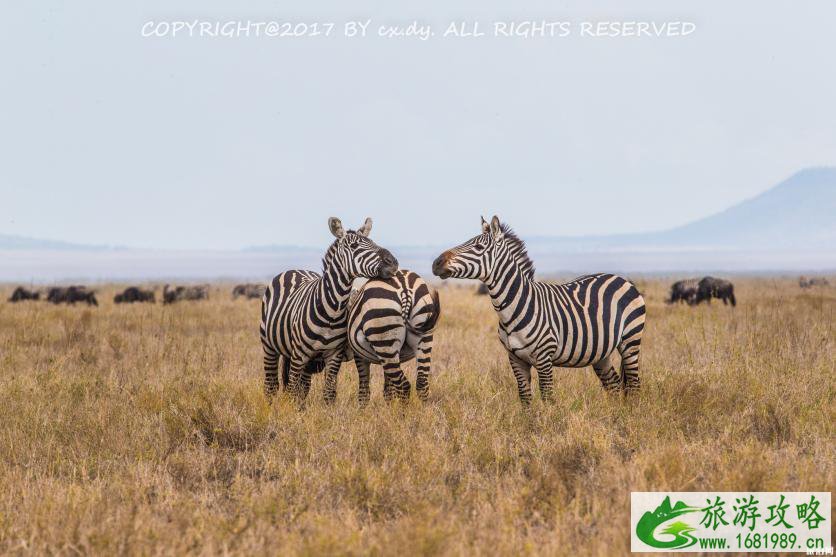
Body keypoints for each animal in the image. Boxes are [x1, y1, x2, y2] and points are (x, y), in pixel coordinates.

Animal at [260, 215, 400, 402]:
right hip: (269, 346)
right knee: (272, 385)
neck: (332, 311)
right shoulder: (299, 354)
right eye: (354, 246)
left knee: (303, 386)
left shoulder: (334, 354)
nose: (393, 263)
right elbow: (292, 390)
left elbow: (328, 392)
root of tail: (294, 270)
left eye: (372, 241)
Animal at [344, 270, 440, 404]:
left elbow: (364, 388)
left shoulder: (359, 356)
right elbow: (388, 388)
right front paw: (389, 406)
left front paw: (362, 408)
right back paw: (423, 410)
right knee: (422, 384)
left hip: (384, 337)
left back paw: (403, 410)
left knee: (404, 386)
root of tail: (405, 289)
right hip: (422, 337)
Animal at [432, 215, 648, 402]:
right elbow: (525, 398)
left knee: (634, 385)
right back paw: (614, 416)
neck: (516, 307)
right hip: (600, 352)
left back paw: (630, 416)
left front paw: (549, 423)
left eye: (478, 246)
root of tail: (622, 278)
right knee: (614, 384)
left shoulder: (545, 358)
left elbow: (547, 397)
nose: (436, 263)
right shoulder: (515, 358)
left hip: (630, 340)